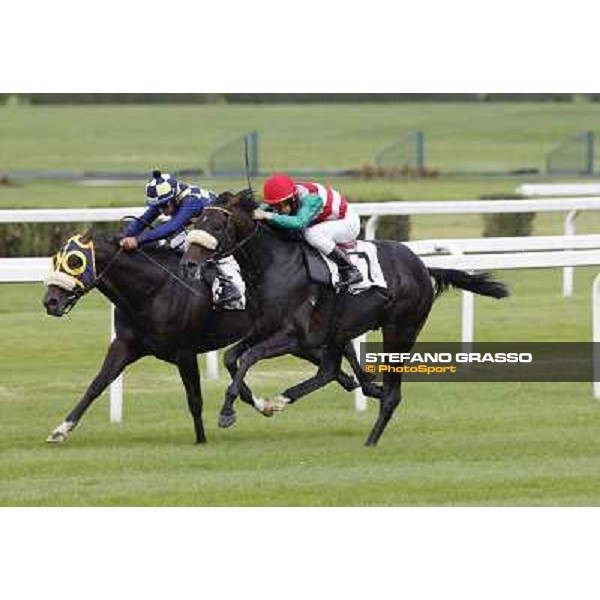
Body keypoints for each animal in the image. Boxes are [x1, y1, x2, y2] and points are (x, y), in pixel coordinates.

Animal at [41, 232, 366, 442]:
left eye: (75, 262)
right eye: (55, 259)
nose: (50, 302)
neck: (153, 289)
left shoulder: (184, 351)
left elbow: (194, 398)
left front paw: (202, 439)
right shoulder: (125, 345)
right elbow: (97, 385)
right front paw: (61, 429)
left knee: (335, 358)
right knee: (331, 364)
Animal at [183, 190, 510, 448]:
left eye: (215, 225)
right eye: (197, 221)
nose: (188, 262)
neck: (276, 264)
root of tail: (421, 265)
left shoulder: (295, 336)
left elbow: (249, 357)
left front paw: (228, 411)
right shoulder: (265, 328)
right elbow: (231, 357)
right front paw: (256, 401)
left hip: (400, 330)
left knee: (391, 392)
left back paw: (372, 439)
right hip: (339, 330)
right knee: (328, 371)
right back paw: (289, 398)